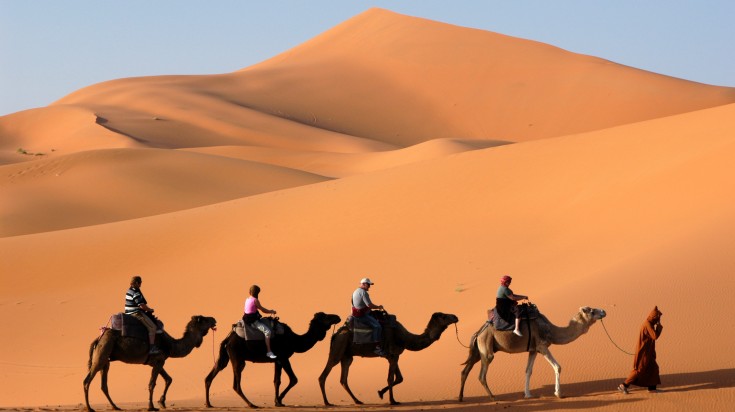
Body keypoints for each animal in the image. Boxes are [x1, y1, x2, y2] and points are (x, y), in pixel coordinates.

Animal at [83, 314, 217, 410]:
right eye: (204, 319)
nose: (214, 319)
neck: (170, 345)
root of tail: (98, 339)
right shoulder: (159, 361)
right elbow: (152, 384)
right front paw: (151, 406)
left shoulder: (158, 362)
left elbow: (169, 379)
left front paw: (162, 402)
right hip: (102, 353)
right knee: (87, 381)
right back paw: (89, 408)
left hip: (106, 359)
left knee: (104, 384)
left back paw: (115, 406)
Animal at [201, 312, 340, 408]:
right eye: (326, 317)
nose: (337, 317)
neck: (294, 340)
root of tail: (228, 339)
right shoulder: (284, 357)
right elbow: (294, 379)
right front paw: (279, 400)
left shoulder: (277, 360)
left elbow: (277, 381)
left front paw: (277, 401)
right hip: (237, 358)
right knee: (236, 384)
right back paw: (252, 404)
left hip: (225, 356)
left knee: (212, 373)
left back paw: (208, 403)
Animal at [318, 312, 458, 406]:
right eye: (444, 316)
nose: (455, 316)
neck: (405, 338)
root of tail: (336, 334)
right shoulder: (392, 356)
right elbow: (391, 378)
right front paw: (392, 401)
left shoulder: (395, 356)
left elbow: (400, 378)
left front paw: (380, 393)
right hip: (338, 349)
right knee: (324, 375)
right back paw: (327, 402)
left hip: (347, 356)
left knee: (343, 379)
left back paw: (358, 401)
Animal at [458, 304, 608, 400]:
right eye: (591, 311)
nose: (604, 311)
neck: (551, 330)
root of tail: (478, 332)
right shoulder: (542, 346)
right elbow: (557, 367)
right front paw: (558, 394)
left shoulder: (533, 350)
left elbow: (528, 371)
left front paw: (528, 395)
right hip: (486, 346)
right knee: (482, 374)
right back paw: (492, 397)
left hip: (478, 350)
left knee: (465, 370)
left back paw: (460, 397)